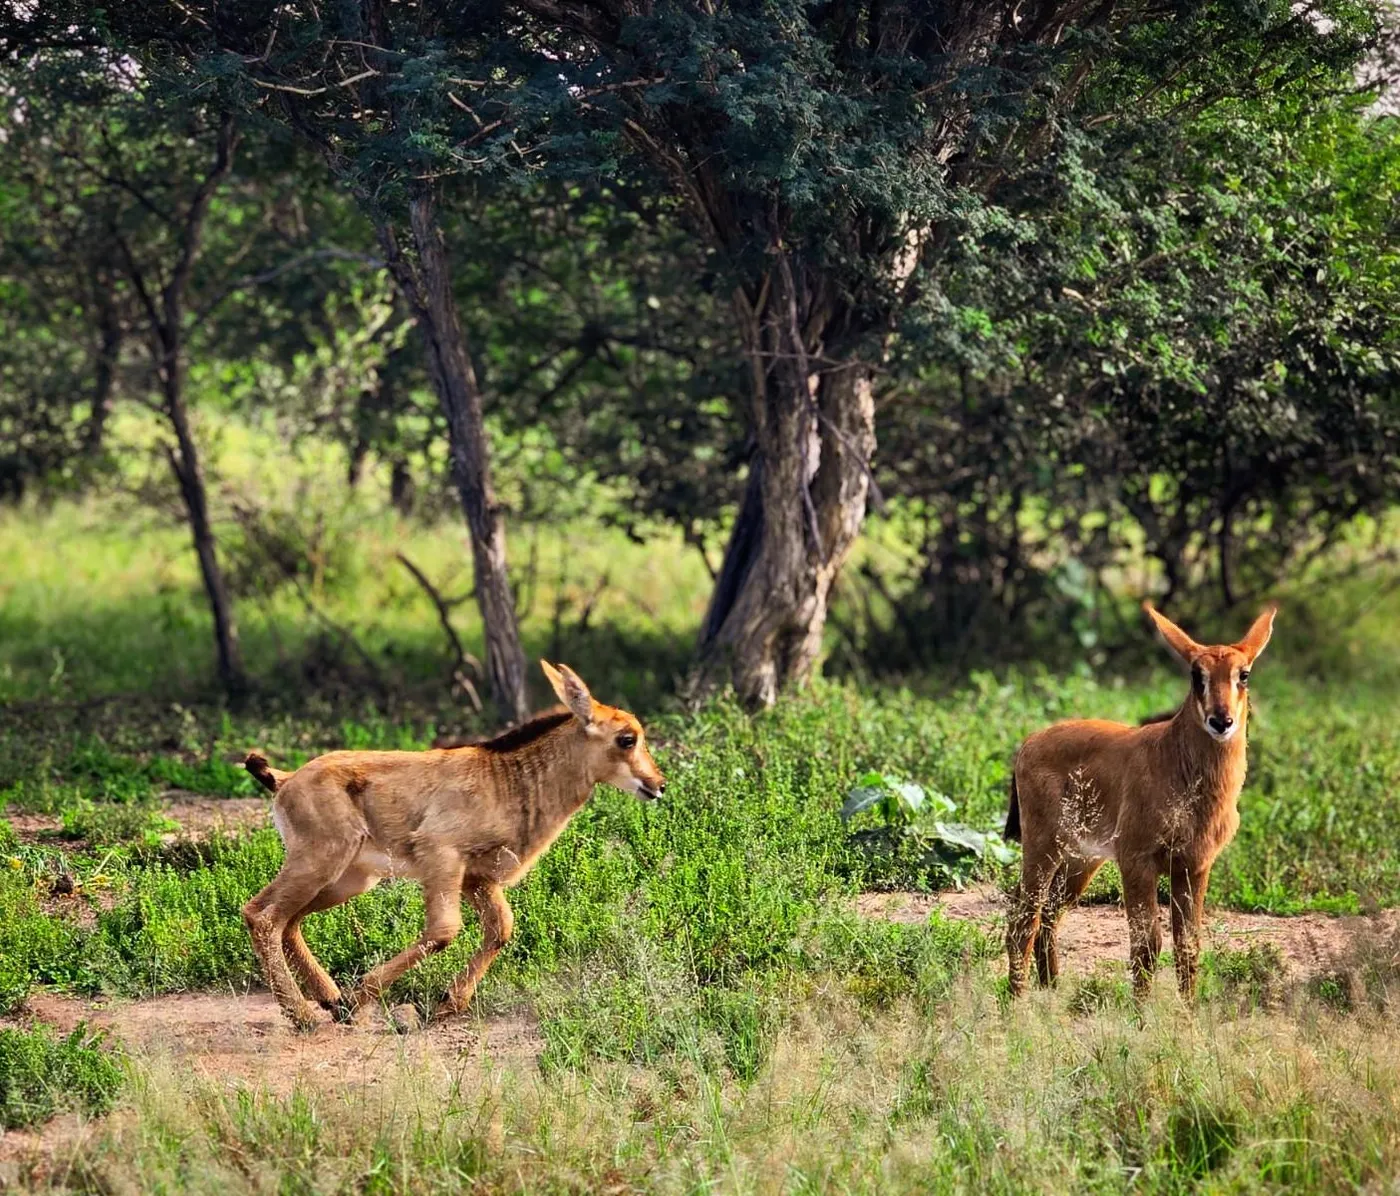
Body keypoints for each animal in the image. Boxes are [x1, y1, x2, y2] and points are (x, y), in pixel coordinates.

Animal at [240, 661, 666, 1031]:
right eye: (627, 738)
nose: (658, 785)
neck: (507, 780)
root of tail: (285, 780)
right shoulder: (442, 856)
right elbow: (444, 930)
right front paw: (361, 998)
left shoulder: (477, 879)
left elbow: (501, 929)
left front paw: (447, 1002)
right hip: (319, 861)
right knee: (263, 916)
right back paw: (305, 1015)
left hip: (349, 879)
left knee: (288, 921)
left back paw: (328, 999)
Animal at [1004, 601, 1277, 1001]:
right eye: (1196, 674)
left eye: (1244, 674)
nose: (1221, 720)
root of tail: (1027, 744)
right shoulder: (1137, 861)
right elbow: (1147, 944)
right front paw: (1141, 1013)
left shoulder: (1194, 866)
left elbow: (1188, 945)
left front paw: (1189, 1012)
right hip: (1042, 849)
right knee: (1023, 919)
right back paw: (1017, 1002)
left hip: (1081, 860)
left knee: (1049, 916)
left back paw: (1050, 991)